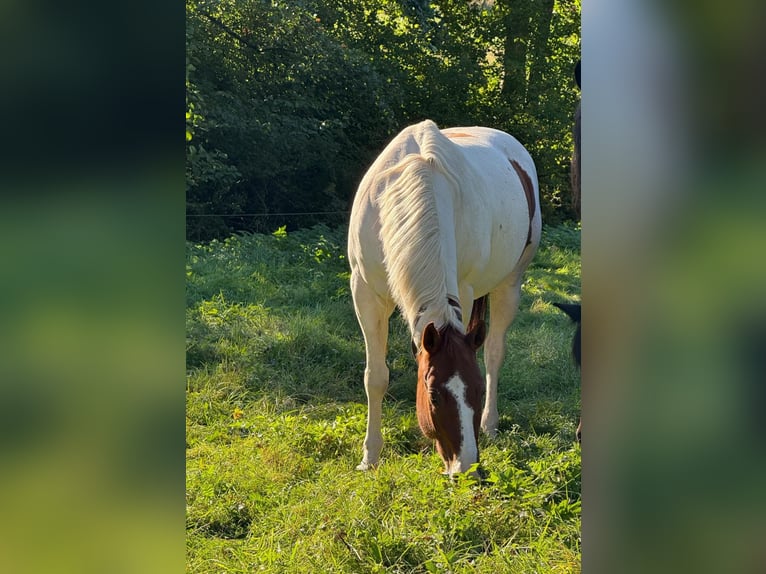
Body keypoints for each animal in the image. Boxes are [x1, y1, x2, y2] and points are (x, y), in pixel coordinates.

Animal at [347, 119, 541, 475]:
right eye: (434, 396)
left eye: (477, 391)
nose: (465, 467)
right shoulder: (365, 293)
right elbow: (376, 377)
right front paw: (370, 456)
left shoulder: (463, 292)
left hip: (510, 283)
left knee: (494, 351)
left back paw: (490, 424)